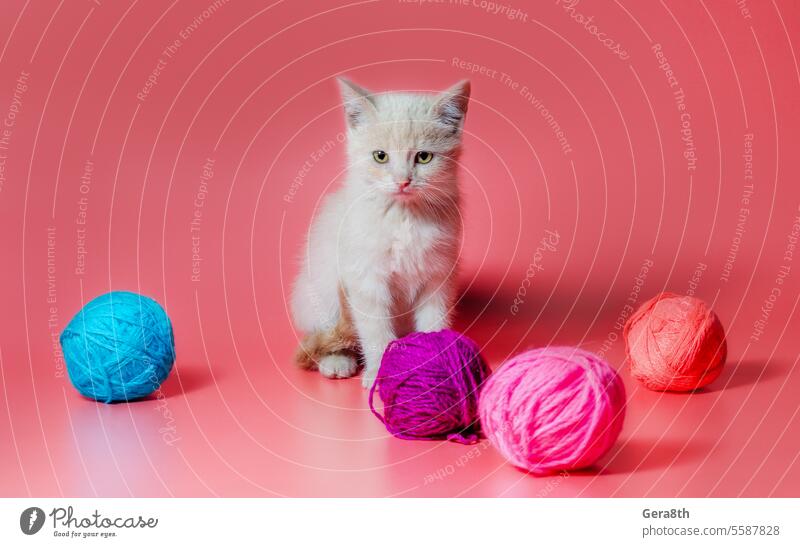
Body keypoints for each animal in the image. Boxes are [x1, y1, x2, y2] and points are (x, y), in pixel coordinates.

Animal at [292, 78, 468, 390]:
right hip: (316, 294)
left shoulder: (440, 275)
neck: (404, 216)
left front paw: (438, 367)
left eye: (424, 157)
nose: (402, 181)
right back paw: (337, 361)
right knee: (330, 335)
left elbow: (435, 321)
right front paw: (378, 372)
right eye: (380, 156)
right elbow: (375, 330)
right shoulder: (366, 279)